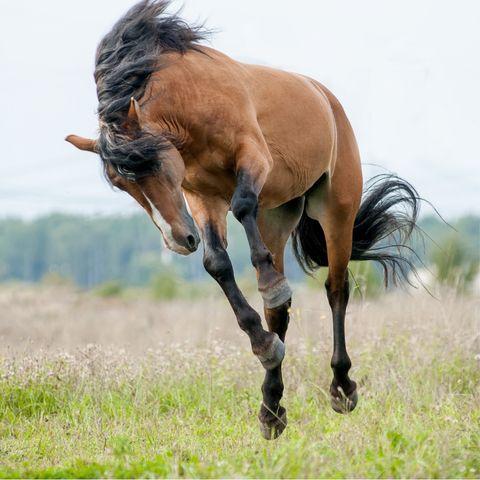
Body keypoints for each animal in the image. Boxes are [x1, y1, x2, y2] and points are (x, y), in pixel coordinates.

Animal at [66, 0, 420, 440]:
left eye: (154, 162)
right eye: (120, 182)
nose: (177, 240)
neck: (191, 102)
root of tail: (327, 99)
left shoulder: (253, 158)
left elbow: (243, 205)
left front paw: (268, 285)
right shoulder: (201, 198)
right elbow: (217, 264)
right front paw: (263, 343)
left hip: (337, 209)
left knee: (337, 290)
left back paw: (341, 388)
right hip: (277, 218)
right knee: (280, 314)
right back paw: (271, 408)